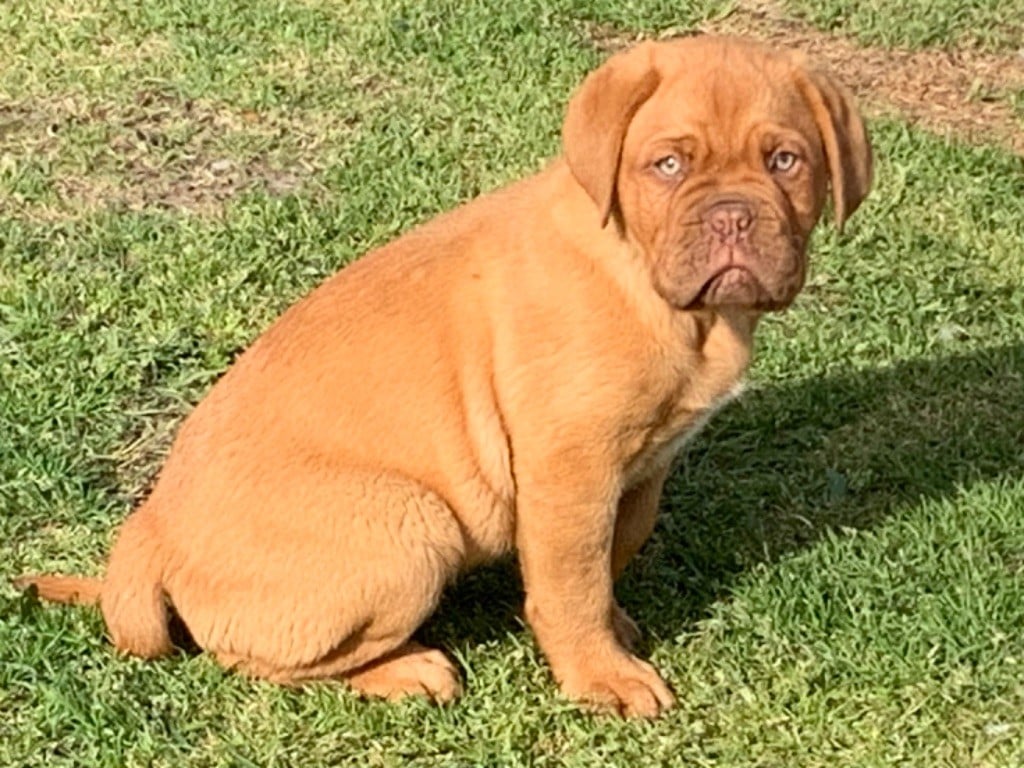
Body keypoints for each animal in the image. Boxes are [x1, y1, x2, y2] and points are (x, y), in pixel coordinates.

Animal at [14, 36, 872, 720]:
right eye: (667, 165)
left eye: (786, 160)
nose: (732, 216)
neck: (656, 286)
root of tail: (147, 533)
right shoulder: (569, 464)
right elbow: (572, 579)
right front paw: (601, 676)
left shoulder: (643, 463)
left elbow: (616, 547)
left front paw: (618, 632)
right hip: (413, 524)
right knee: (248, 657)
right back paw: (407, 670)